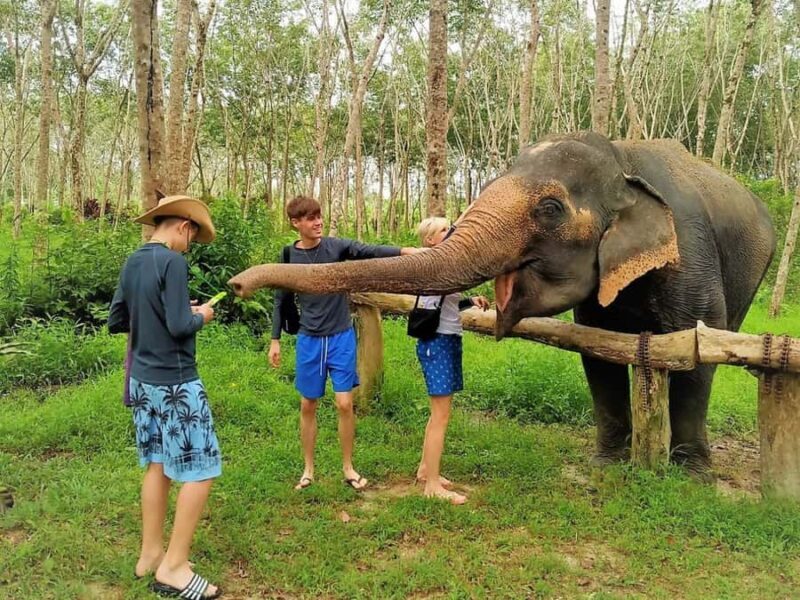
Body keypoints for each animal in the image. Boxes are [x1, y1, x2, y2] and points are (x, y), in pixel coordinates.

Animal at [230, 131, 775, 479]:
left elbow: (696, 351)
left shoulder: (690, 250)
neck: (623, 159)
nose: (236, 284)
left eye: (550, 209)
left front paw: (694, 476)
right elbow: (597, 353)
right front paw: (605, 464)